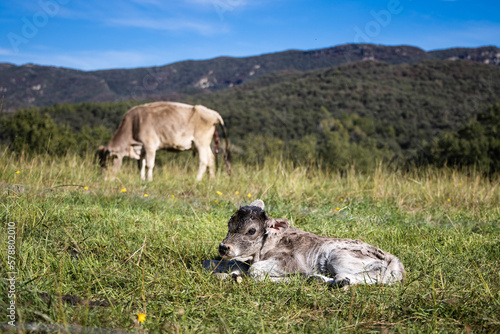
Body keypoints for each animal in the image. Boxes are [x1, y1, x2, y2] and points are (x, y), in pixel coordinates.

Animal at [95, 101, 230, 181]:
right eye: (100, 164)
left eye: (107, 163)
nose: (104, 179)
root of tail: (214, 113)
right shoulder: (141, 148)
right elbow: (141, 164)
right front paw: (142, 179)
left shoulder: (150, 144)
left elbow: (149, 164)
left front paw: (149, 180)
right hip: (205, 144)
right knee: (211, 159)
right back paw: (211, 179)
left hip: (200, 142)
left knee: (203, 161)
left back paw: (197, 179)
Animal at [208, 200, 406, 286]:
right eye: (229, 224)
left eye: (251, 231)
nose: (224, 247)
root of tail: (395, 260)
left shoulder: (291, 262)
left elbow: (254, 271)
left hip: (339, 257)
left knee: (376, 275)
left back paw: (338, 280)